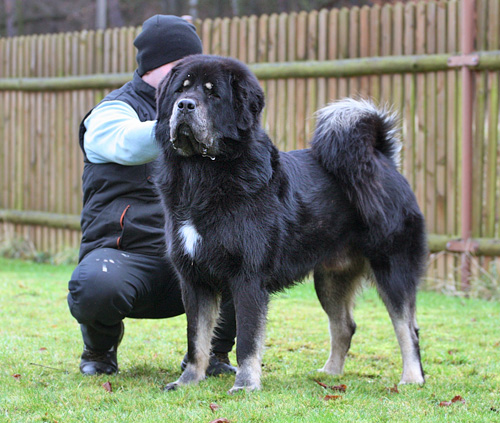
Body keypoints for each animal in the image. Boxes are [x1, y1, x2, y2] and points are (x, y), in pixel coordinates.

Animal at [155, 53, 426, 394]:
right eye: (181, 89)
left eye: (213, 93)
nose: (185, 105)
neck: (201, 171)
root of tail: (383, 159)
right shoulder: (193, 278)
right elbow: (196, 338)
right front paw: (188, 381)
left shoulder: (248, 277)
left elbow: (247, 340)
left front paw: (245, 385)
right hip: (330, 279)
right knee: (345, 326)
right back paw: (330, 373)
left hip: (392, 268)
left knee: (407, 329)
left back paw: (412, 378)